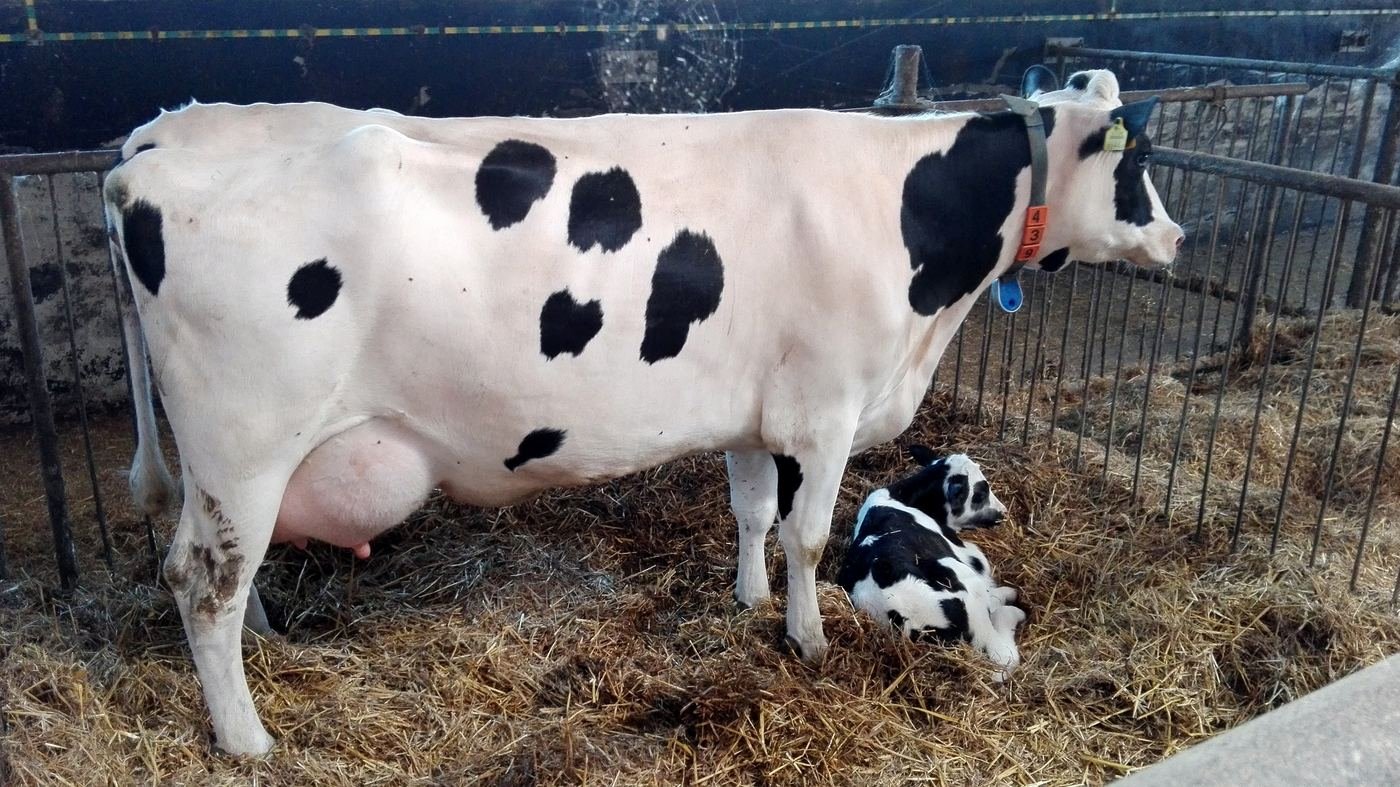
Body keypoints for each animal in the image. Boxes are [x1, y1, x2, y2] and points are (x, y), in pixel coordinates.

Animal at [838, 448, 1025, 681]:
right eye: (980, 492)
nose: (1003, 511)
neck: (902, 497)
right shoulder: (967, 553)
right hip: (961, 579)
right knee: (1001, 652)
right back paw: (1013, 606)